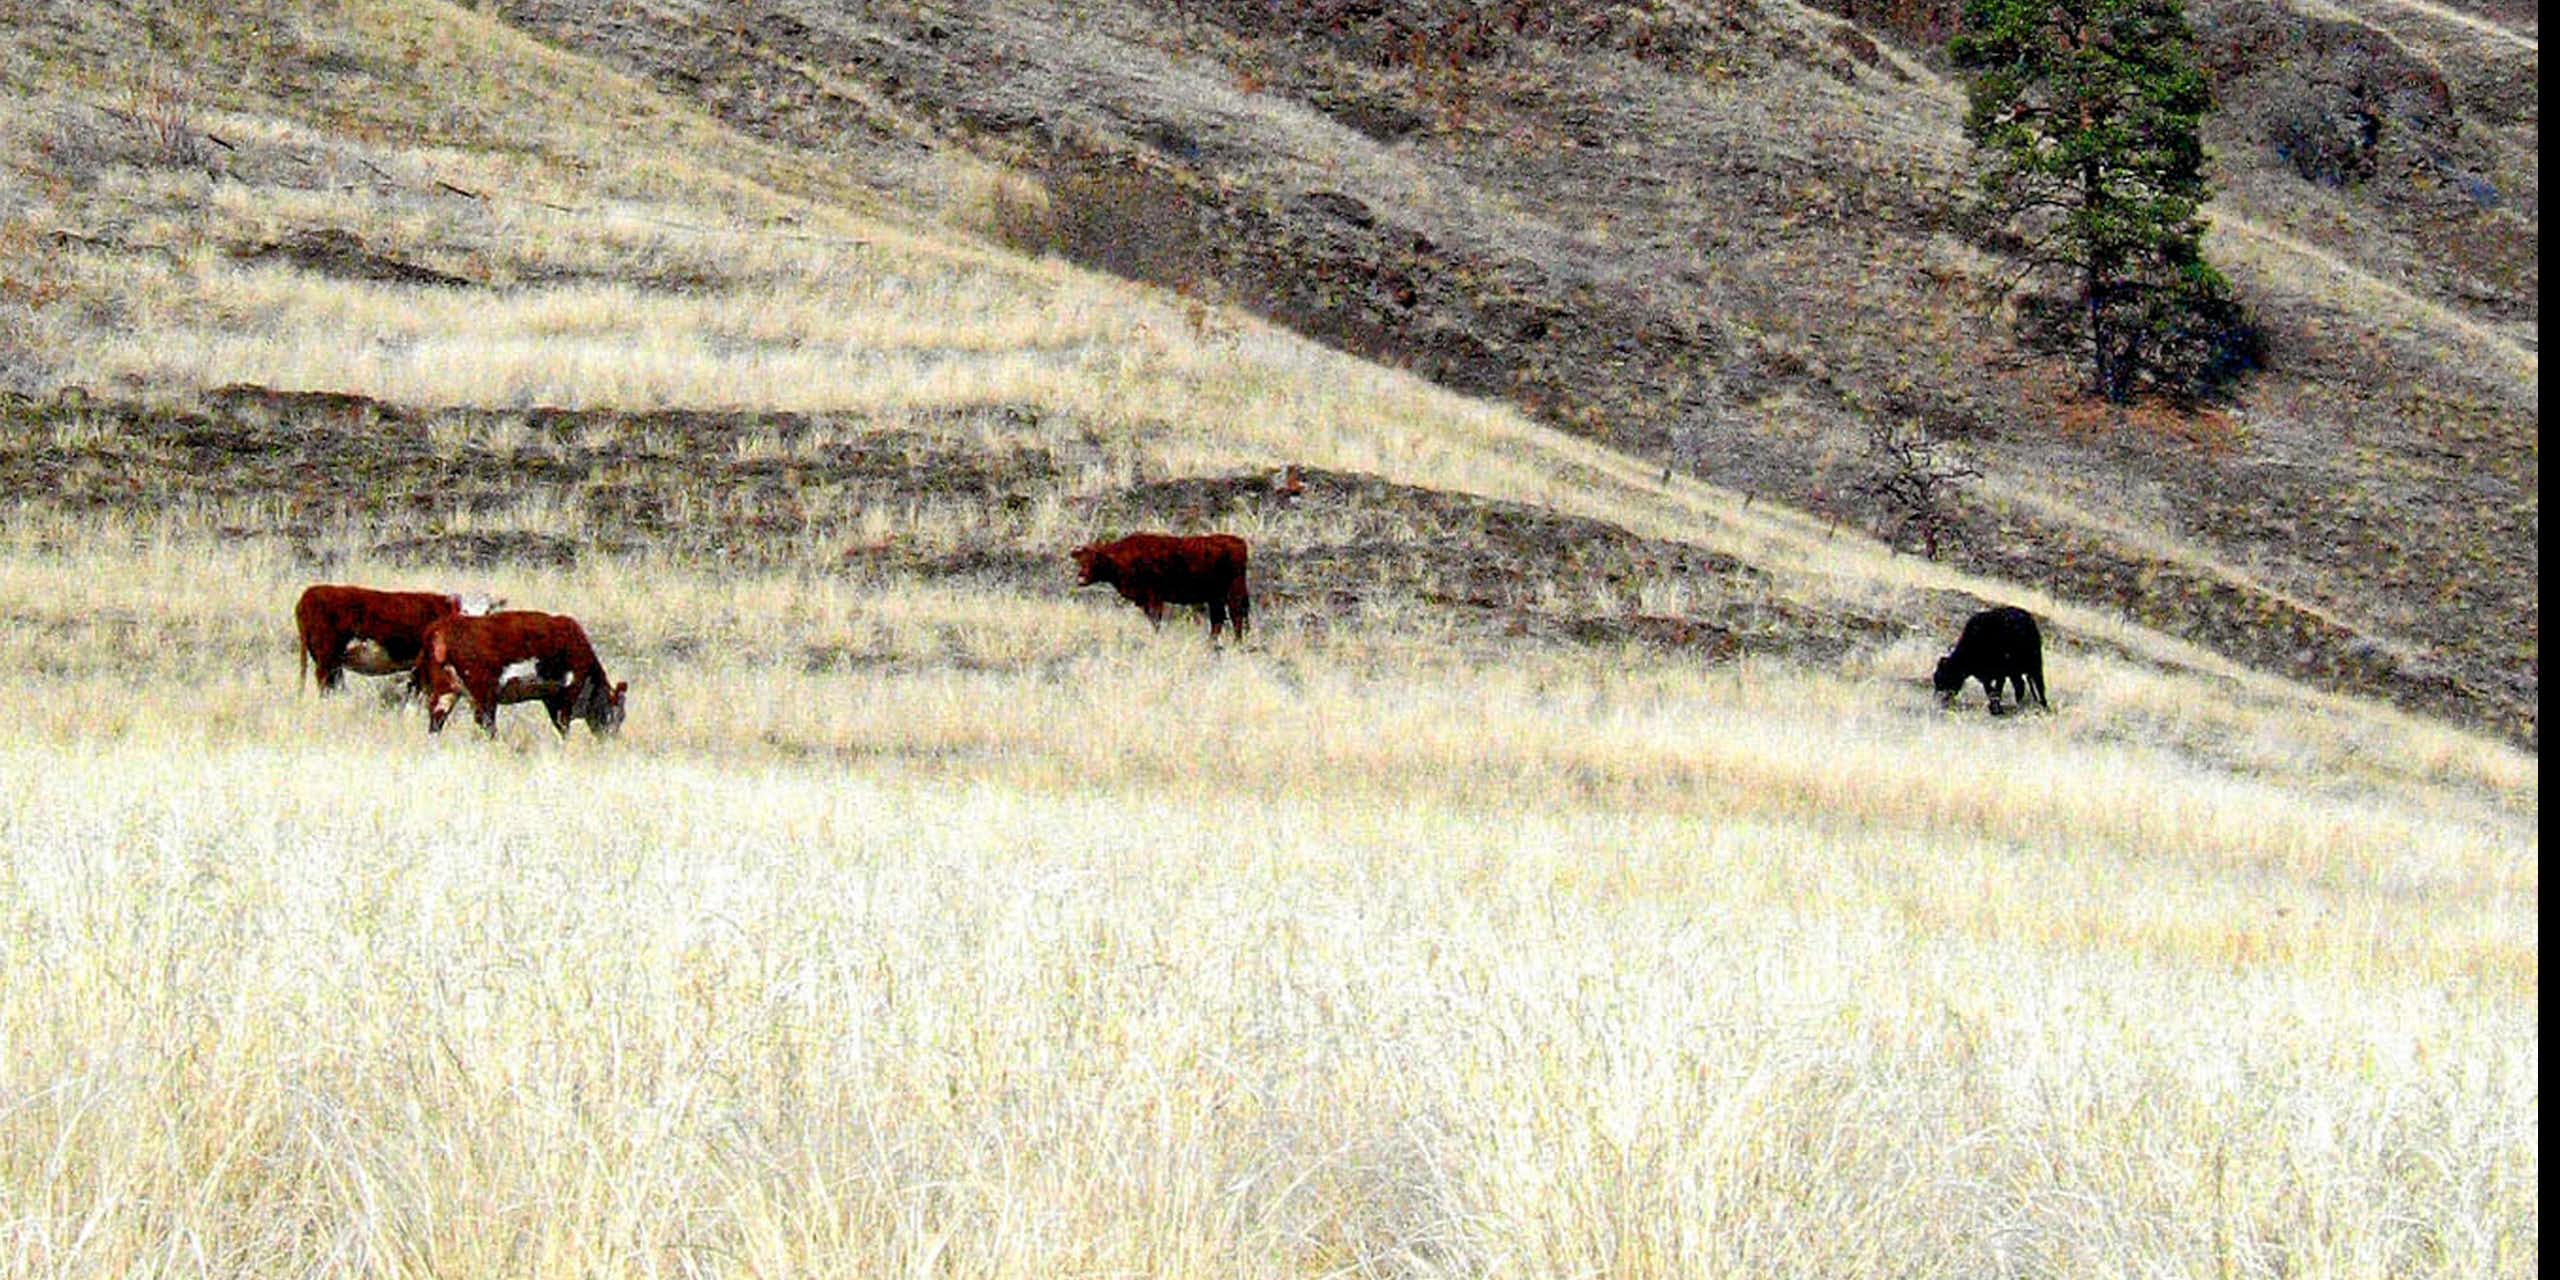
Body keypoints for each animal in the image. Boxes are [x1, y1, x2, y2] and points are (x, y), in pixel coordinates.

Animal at [296, 583, 502, 695]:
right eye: (464, 611)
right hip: (326, 655)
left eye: (488, 611)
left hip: (332, 659)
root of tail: (309, 593)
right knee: (324, 681)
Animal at [415, 610, 627, 736]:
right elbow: (563, 725)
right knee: (486, 724)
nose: (611, 738)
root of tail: (440, 628)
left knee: (436, 721)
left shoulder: (550, 697)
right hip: (483, 693)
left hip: (446, 690)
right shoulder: (569, 691)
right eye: (619, 714)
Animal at [1070, 532, 1252, 642]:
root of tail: (1239, 542)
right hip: (1215, 597)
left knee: (1236, 616)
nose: (1081, 578)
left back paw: (1237, 643)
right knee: (1219, 620)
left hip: (1233, 592)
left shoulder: (1154, 597)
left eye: (1096, 559)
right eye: (1081, 561)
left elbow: (1155, 619)